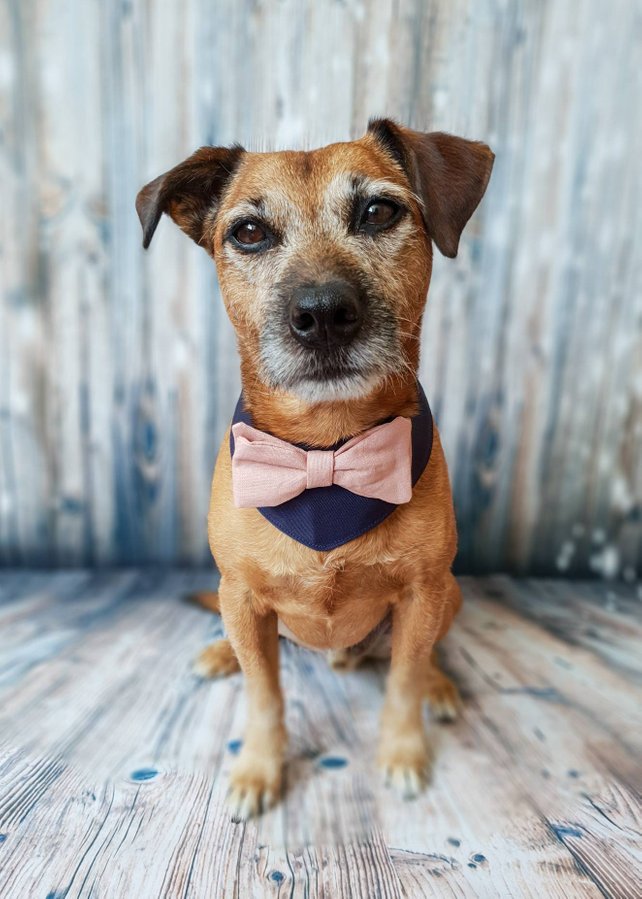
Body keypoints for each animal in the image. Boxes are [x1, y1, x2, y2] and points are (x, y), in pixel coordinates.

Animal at [136, 119, 496, 824]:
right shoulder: (244, 599)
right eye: (249, 232)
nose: (323, 313)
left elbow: (404, 679)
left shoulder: (422, 594)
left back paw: (441, 685)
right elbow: (264, 694)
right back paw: (219, 653)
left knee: (430, 652)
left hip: (452, 593)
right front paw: (259, 768)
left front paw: (404, 753)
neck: (324, 454)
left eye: (378, 212)